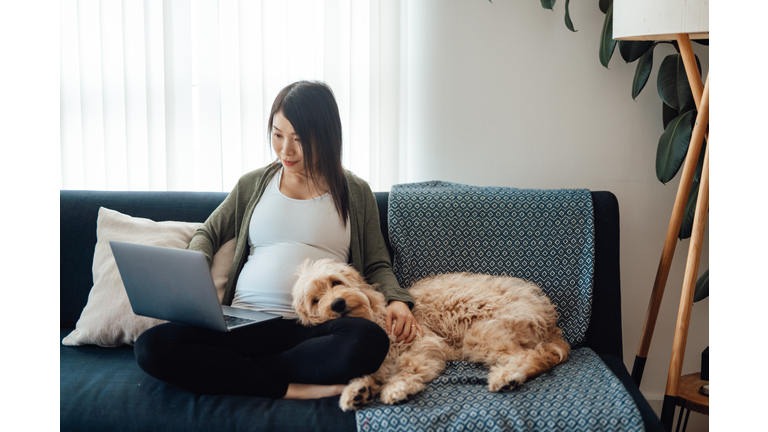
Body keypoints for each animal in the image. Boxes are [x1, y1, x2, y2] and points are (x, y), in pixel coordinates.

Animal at [294, 258, 568, 410]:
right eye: (316, 300)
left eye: (335, 282)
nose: (337, 304)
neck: (374, 317)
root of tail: (550, 321)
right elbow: (375, 371)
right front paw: (359, 390)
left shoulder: (423, 343)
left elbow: (409, 366)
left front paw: (398, 387)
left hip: (481, 333)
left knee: (531, 357)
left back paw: (508, 377)